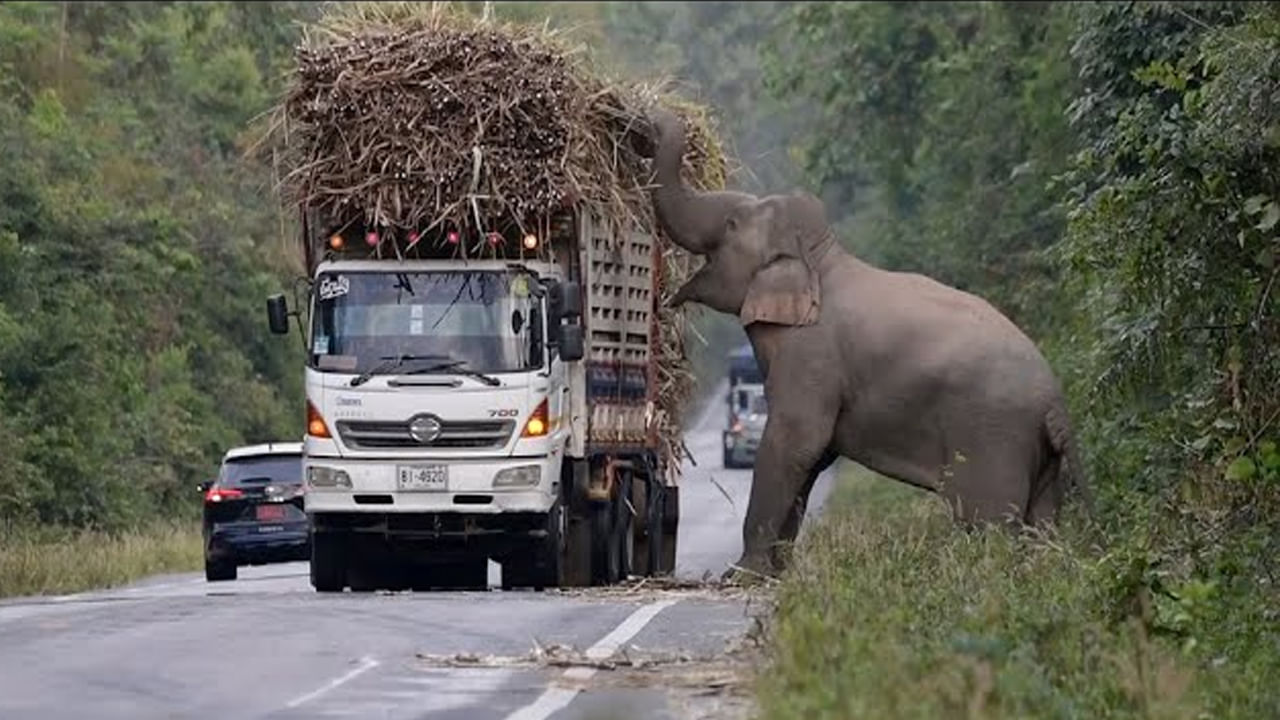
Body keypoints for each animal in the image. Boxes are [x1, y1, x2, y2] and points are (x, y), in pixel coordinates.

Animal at [645, 107, 1085, 576]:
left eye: (731, 225)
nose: (655, 117)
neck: (820, 258)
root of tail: (1055, 402)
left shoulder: (811, 355)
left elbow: (795, 440)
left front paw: (743, 573)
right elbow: (812, 456)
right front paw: (777, 572)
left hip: (992, 440)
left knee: (990, 525)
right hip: (1038, 456)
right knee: (1042, 522)